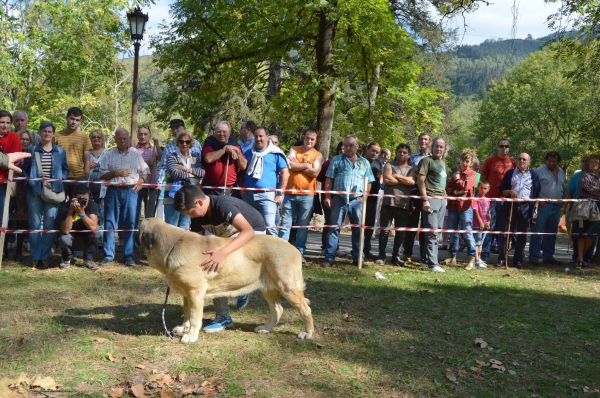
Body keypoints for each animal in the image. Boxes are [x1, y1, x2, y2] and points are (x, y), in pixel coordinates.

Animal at [139, 216, 316, 344]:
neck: (173, 246)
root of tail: (294, 249)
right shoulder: (186, 294)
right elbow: (187, 313)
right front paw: (184, 328)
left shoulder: (195, 293)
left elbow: (195, 317)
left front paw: (190, 336)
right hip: (269, 288)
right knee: (278, 309)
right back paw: (265, 328)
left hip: (288, 287)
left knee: (305, 310)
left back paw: (307, 334)